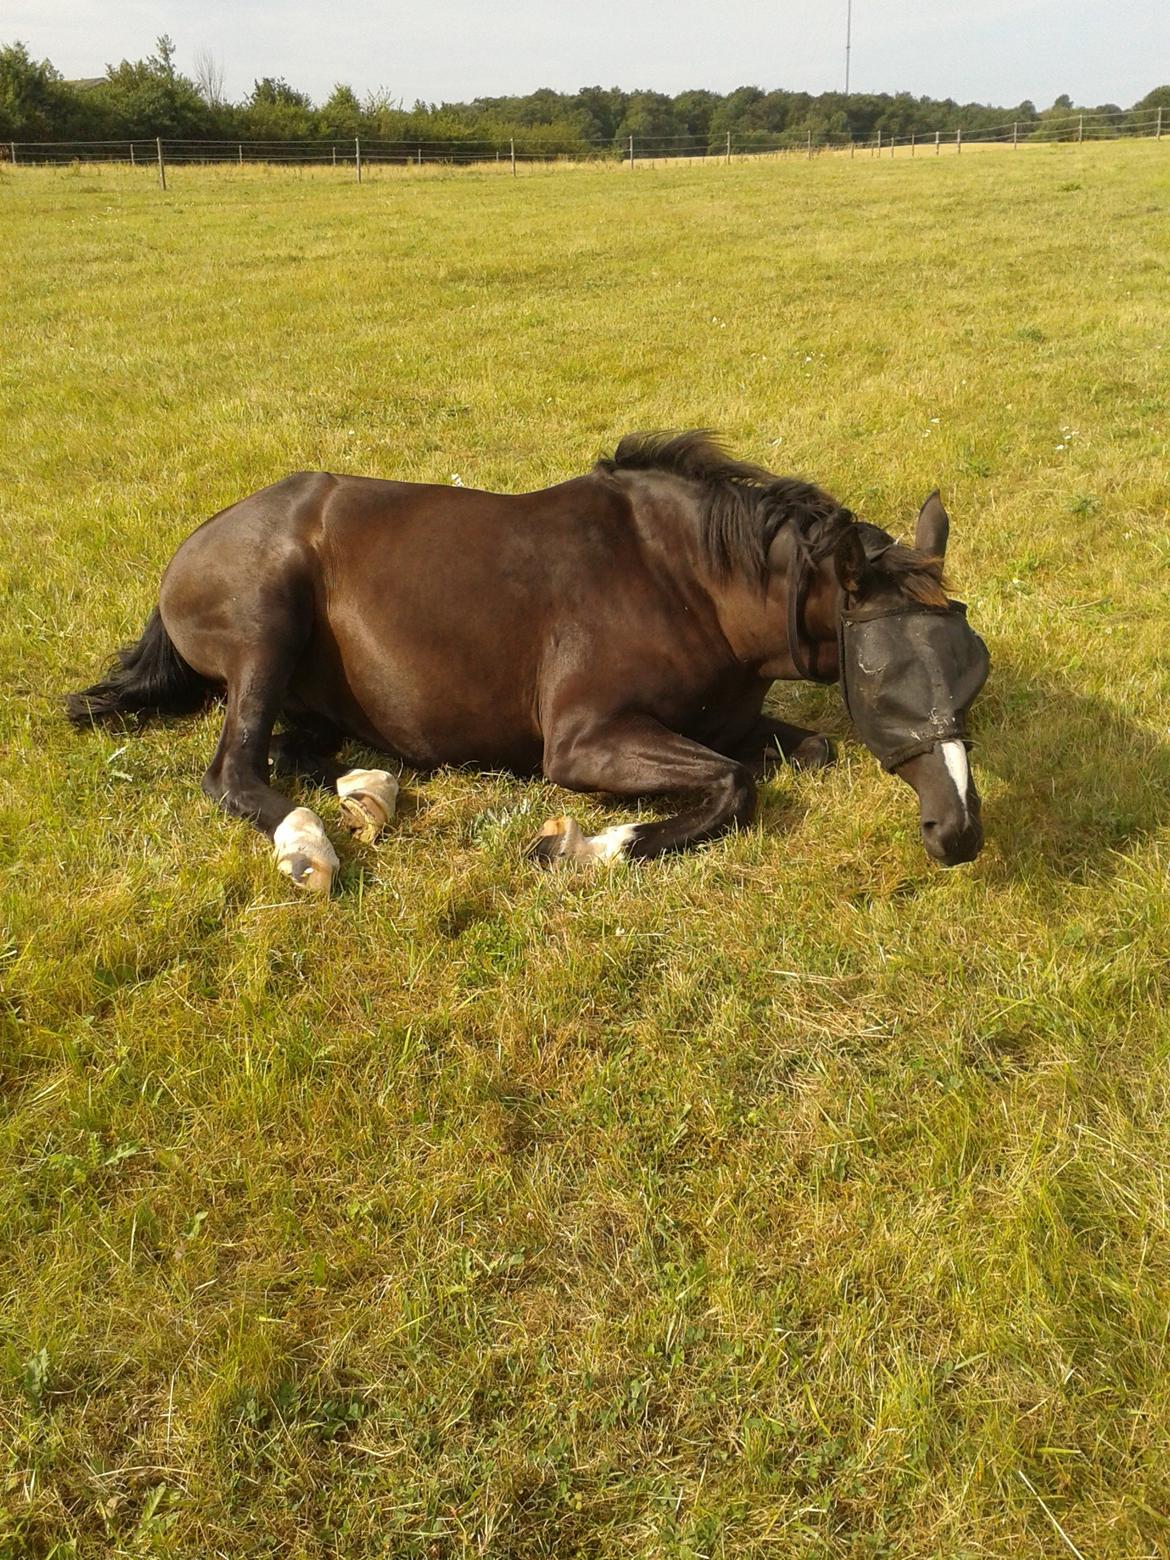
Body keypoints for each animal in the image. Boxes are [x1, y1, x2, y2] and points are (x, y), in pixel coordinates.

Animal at [66, 430, 992, 892]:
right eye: (875, 675)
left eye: (970, 668)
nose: (959, 832)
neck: (685, 579)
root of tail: (196, 541)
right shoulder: (585, 741)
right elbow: (735, 786)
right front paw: (577, 848)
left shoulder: (729, 720)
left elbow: (807, 749)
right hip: (267, 624)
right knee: (235, 770)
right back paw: (310, 847)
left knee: (300, 751)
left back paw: (370, 792)